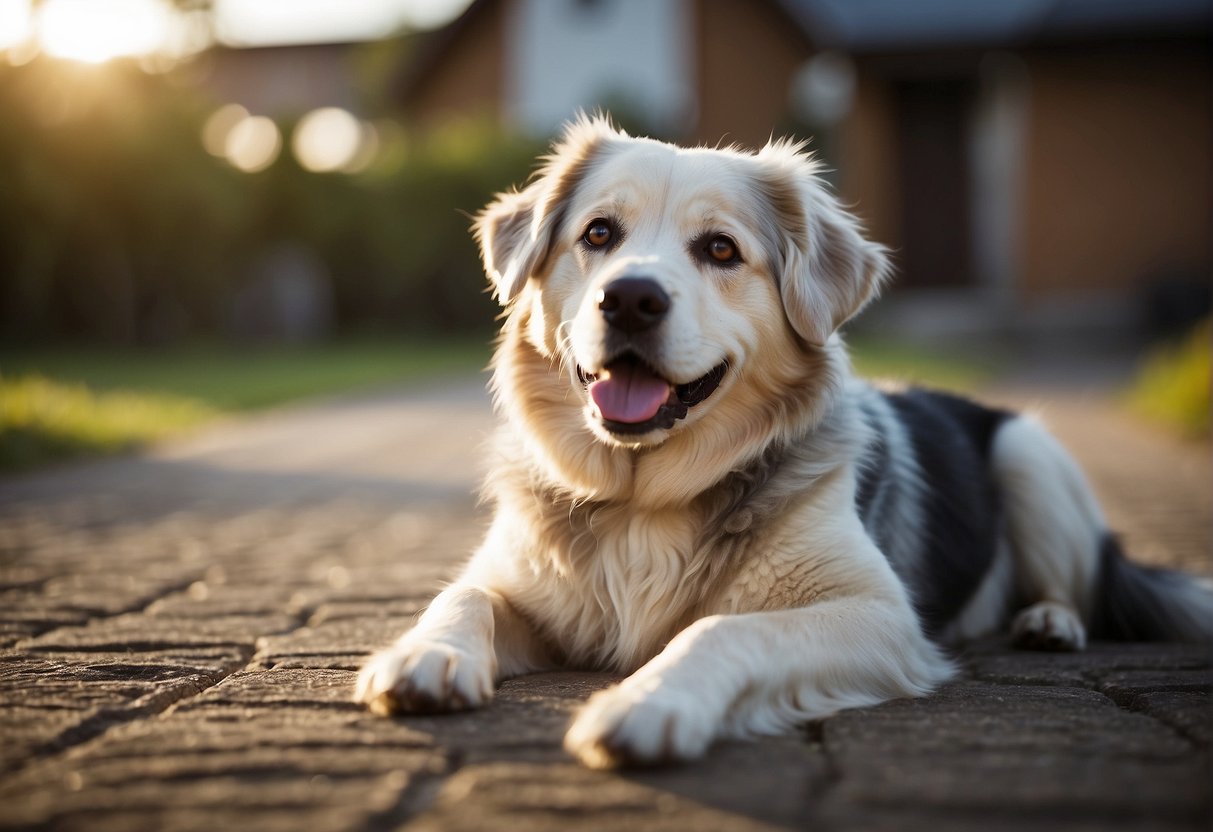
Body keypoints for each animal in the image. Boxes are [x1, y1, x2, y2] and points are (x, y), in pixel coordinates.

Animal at [354, 117, 1213, 771]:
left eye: (720, 250)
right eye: (598, 233)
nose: (629, 299)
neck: (644, 495)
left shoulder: (878, 615)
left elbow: (722, 627)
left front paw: (647, 701)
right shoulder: (516, 577)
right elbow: (462, 592)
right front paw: (427, 653)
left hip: (1029, 453)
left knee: (1072, 581)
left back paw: (1048, 623)